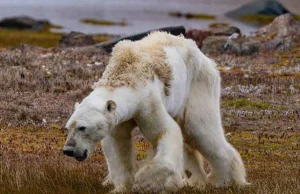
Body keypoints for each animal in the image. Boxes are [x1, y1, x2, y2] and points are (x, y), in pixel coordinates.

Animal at [62, 31, 247, 192]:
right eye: (68, 127)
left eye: (82, 127)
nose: (68, 150)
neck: (125, 75)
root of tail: (205, 57)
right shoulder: (118, 119)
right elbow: (117, 144)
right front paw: (121, 187)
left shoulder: (148, 101)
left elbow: (164, 132)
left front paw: (146, 182)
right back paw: (194, 181)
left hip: (198, 85)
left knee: (200, 130)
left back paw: (225, 181)